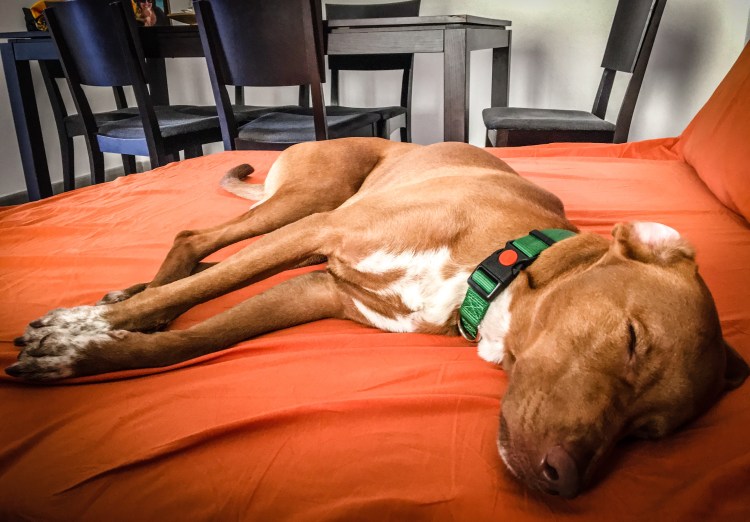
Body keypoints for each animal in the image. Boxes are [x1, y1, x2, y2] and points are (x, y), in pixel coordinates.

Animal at [7, 138, 748, 498]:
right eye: (631, 340)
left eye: (649, 434)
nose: (562, 479)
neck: (496, 263)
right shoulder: (324, 235)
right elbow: (196, 293)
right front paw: (72, 334)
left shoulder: (316, 292)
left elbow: (193, 339)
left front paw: (90, 351)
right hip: (310, 200)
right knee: (196, 242)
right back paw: (108, 305)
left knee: (197, 264)